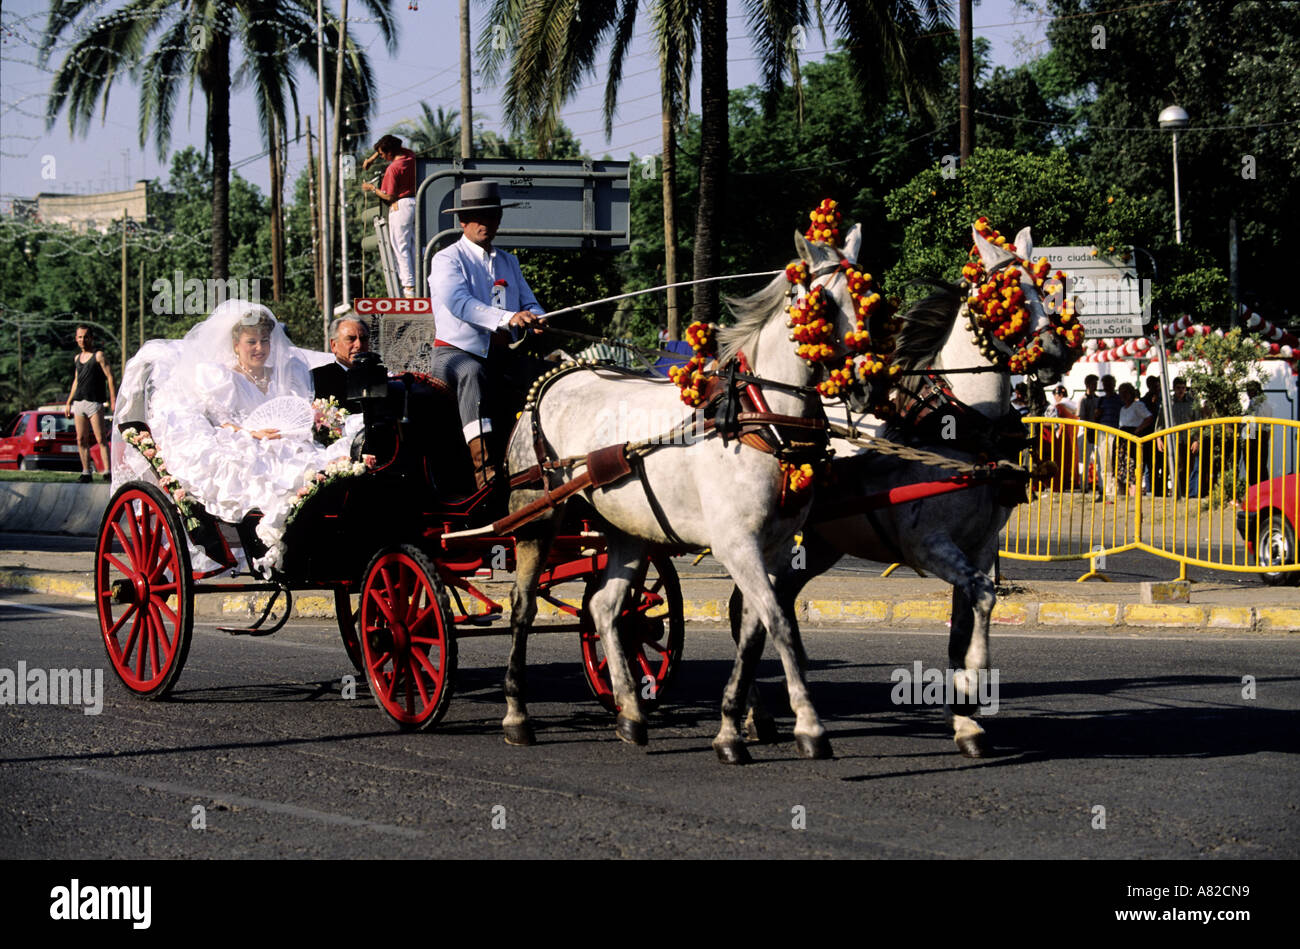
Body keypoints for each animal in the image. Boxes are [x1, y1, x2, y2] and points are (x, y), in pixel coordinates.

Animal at [501, 223, 868, 759]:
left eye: (868, 298)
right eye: (820, 303)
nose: (863, 381)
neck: (756, 416)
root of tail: (557, 376)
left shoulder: (775, 548)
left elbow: (754, 629)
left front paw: (734, 724)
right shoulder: (736, 545)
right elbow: (778, 623)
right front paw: (808, 725)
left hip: (627, 529)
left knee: (605, 608)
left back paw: (631, 713)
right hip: (536, 516)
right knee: (523, 606)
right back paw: (517, 714)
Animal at [728, 222, 1081, 754]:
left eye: (1042, 290)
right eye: (1011, 294)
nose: (1059, 354)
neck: (955, 427)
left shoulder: (980, 547)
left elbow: (966, 619)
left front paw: (966, 720)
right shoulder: (928, 544)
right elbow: (983, 599)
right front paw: (972, 691)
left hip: (819, 543)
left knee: (769, 604)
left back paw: (764, 712)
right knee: (749, 607)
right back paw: (754, 713)